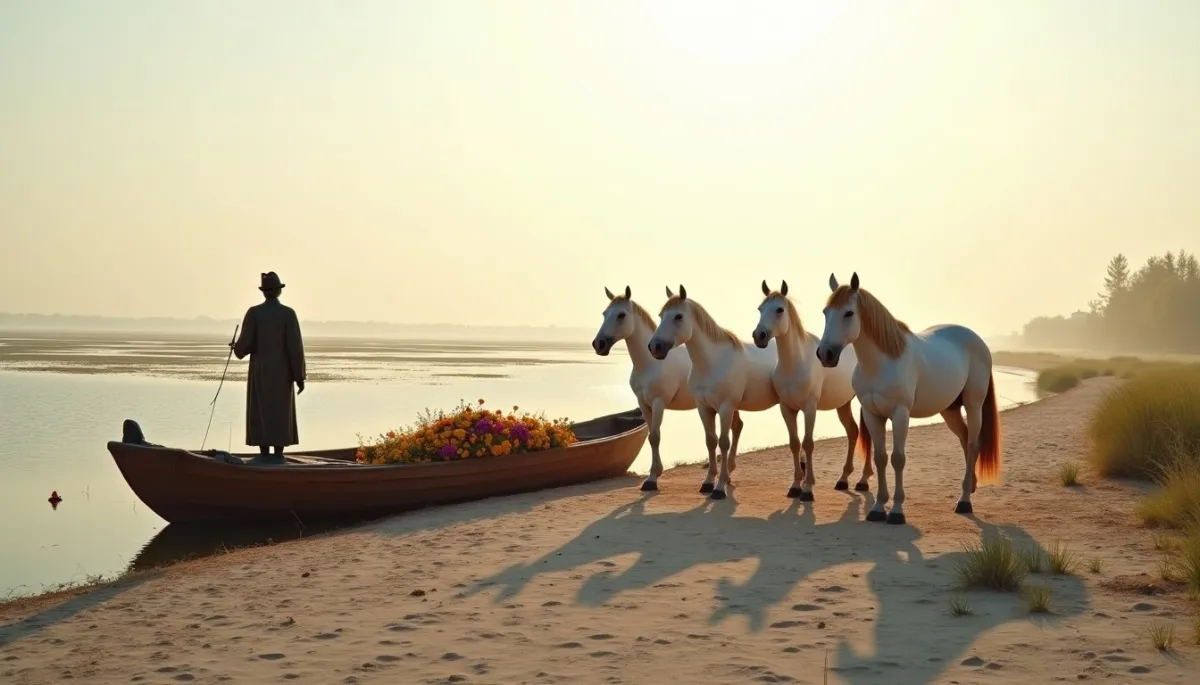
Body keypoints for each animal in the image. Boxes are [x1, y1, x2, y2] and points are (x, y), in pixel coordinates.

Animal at [592, 286, 745, 492]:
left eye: (621, 314)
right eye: (604, 313)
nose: (598, 344)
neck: (649, 364)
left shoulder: (658, 403)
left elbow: (655, 436)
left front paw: (652, 480)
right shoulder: (644, 404)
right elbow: (651, 437)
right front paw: (655, 473)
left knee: (735, 428)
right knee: (737, 426)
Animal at [649, 285, 778, 500]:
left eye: (678, 316)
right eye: (661, 315)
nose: (655, 347)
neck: (712, 363)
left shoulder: (725, 407)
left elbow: (723, 442)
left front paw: (720, 487)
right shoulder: (704, 408)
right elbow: (711, 441)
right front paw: (709, 482)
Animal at [753, 280, 872, 501]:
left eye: (779, 309)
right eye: (760, 309)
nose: (759, 336)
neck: (795, 363)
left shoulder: (810, 408)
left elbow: (808, 443)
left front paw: (807, 488)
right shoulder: (787, 408)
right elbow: (794, 443)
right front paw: (795, 486)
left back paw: (863, 480)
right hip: (843, 404)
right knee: (853, 431)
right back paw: (843, 479)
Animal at [815, 273, 1001, 524]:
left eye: (849, 313)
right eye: (826, 312)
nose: (825, 354)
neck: (882, 362)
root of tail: (978, 341)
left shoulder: (900, 413)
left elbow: (898, 459)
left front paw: (896, 511)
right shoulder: (872, 414)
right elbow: (881, 457)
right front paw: (877, 508)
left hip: (974, 405)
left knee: (973, 444)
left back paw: (964, 501)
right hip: (950, 410)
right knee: (964, 439)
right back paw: (970, 486)